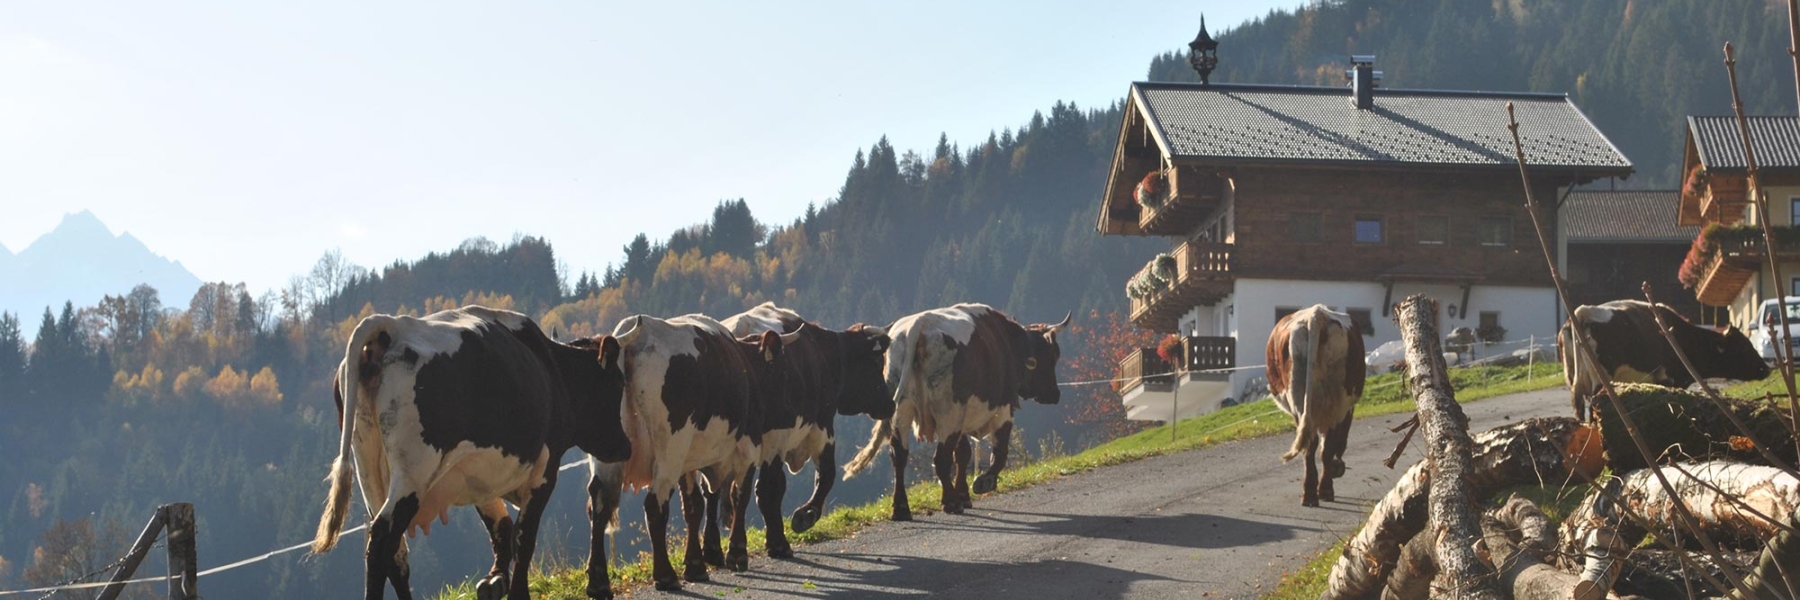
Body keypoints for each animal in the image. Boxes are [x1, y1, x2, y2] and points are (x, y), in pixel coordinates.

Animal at [315, 306, 633, 598]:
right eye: (618, 382)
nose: (626, 447)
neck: (553, 369)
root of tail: (392, 326)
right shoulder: (545, 471)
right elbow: (524, 537)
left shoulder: (477, 474)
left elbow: (501, 528)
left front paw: (496, 581)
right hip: (412, 472)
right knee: (384, 539)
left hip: (369, 471)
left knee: (393, 552)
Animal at [586, 313, 799, 594]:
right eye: (782, 372)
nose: (790, 411)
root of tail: (630, 341)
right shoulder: (748, 447)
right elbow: (739, 496)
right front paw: (737, 554)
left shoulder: (688, 463)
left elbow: (694, 507)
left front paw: (696, 565)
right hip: (668, 454)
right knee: (654, 506)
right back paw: (665, 575)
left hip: (606, 455)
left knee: (598, 506)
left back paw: (598, 582)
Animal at [842, 304, 1065, 518]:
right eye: (1052, 356)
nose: (1055, 394)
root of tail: (919, 325)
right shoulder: (1002, 410)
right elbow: (999, 452)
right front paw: (984, 482)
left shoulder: (962, 419)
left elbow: (963, 453)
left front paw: (964, 495)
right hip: (948, 412)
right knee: (941, 459)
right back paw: (949, 502)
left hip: (902, 411)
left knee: (899, 456)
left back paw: (901, 508)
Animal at [1267, 304, 1360, 504]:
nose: (1339, 468)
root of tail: (1316, 315)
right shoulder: (1345, 411)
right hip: (1335, 403)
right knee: (1323, 447)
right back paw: (1323, 489)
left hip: (1299, 399)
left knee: (1310, 445)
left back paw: (1310, 493)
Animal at [1562, 297, 1771, 418]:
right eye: (1744, 347)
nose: (1766, 368)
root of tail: (1584, 311)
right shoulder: (1671, 379)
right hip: (1601, 378)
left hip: (1575, 383)